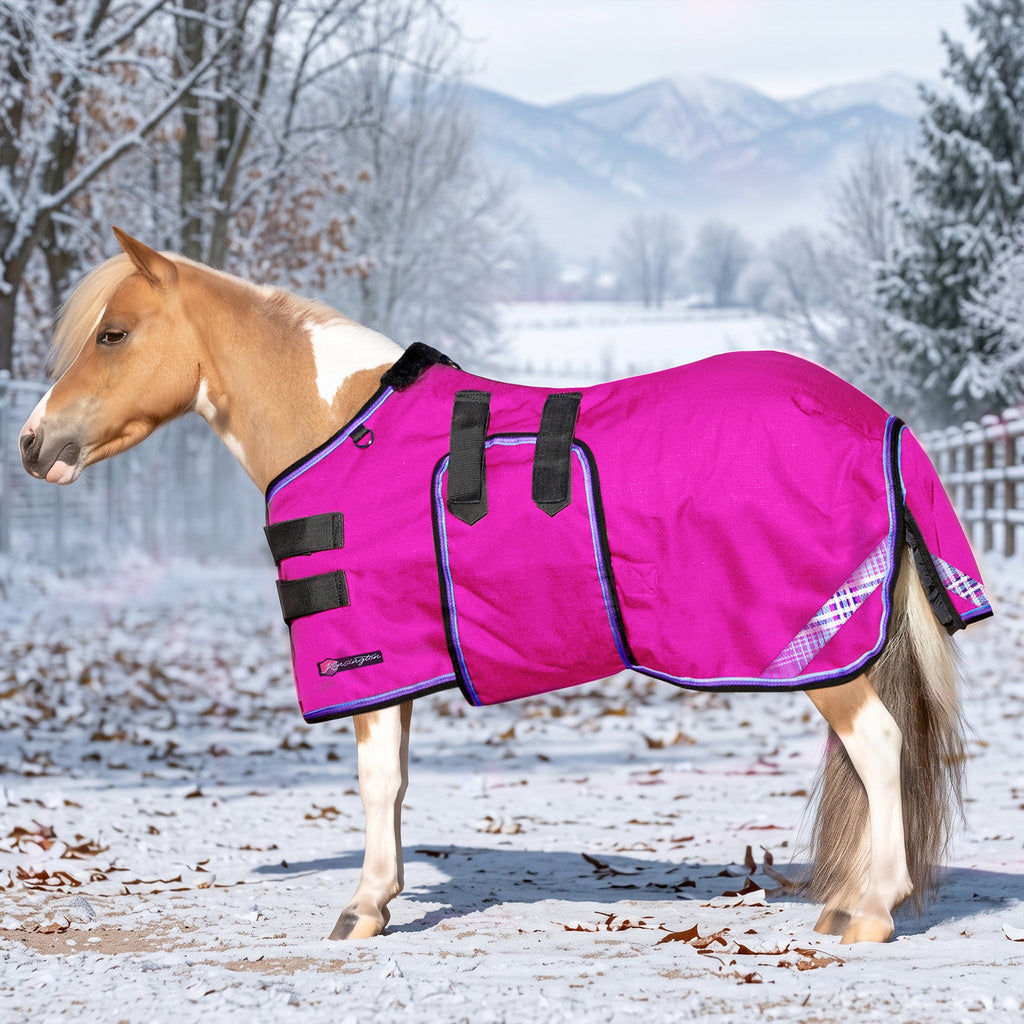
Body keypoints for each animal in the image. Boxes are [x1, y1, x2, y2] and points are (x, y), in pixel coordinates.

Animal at [18, 227, 990, 946]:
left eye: (113, 334)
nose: (33, 443)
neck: (342, 424)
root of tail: (875, 418)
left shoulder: (373, 654)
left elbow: (374, 780)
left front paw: (363, 908)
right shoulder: (402, 662)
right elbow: (397, 782)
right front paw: (382, 897)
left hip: (818, 650)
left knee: (879, 747)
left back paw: (871, 913)